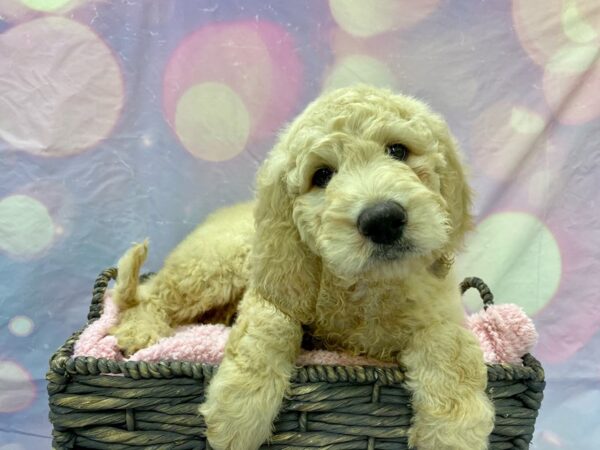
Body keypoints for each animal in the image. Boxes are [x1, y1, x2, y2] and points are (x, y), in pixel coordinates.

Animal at [110, 85, 494, 450]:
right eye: (321, 175)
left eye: (398, 151)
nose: (382, 220)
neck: (368, 284)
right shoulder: (274, 287)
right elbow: (270, 326)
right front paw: (239, 411)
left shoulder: (441, 308)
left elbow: (451, 349)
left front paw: (454, 432)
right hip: (216, 265)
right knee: (149, 296)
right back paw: (138, 332)